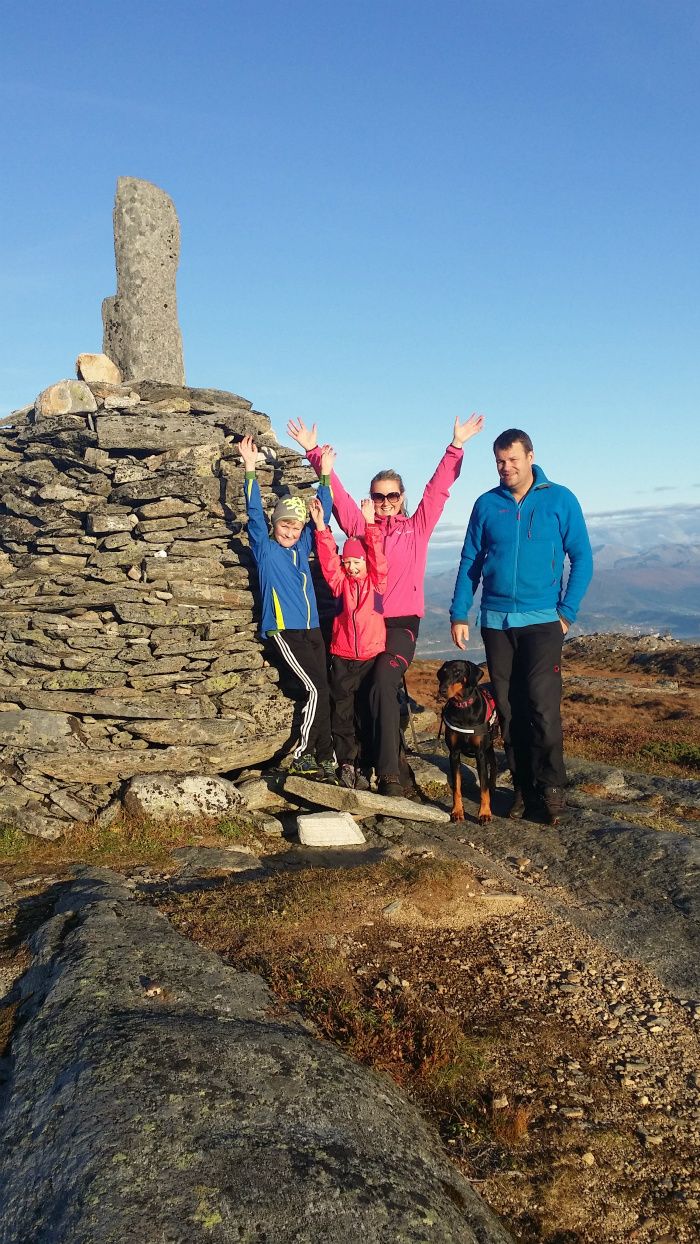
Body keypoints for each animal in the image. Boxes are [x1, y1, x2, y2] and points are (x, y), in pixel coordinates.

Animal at [435, 661, 502, 826]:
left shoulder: (479, 754)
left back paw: (492, 788)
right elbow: (457, 786)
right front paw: (457, 811)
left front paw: (484, 813)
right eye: (443, 672)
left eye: (458, 672)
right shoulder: (454, 753)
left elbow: (483, 788)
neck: (463, 706)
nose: (442, 690)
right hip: (489, 743)